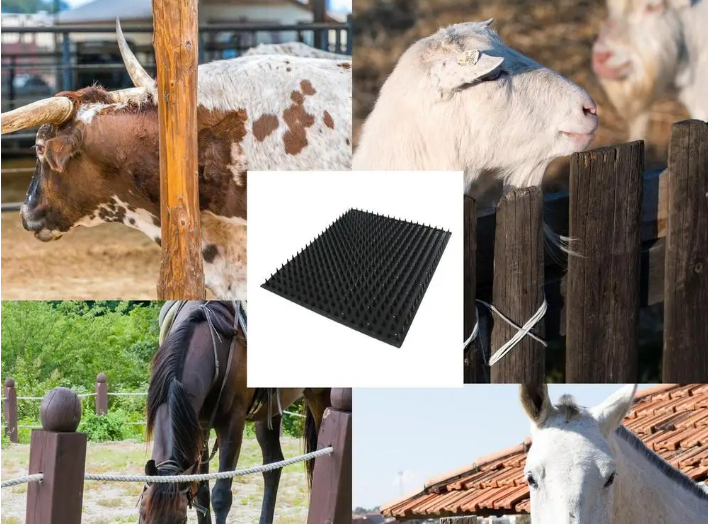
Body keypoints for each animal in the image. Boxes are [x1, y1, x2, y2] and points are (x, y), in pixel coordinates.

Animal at [139, 301, 331, 524]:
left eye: (180, 520)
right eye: (143, 515)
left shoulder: (232, 426)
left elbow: (221, 496)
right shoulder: (199, 428)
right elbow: (201, 493)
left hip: (321, 397)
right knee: (272, 466)